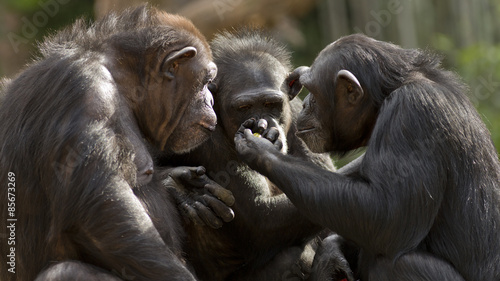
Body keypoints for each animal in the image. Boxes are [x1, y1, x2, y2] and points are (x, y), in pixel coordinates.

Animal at [0, 6, 234, 280]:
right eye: (206, 81)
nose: (210, 100)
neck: (121, 80)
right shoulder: (86, 93)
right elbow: (104, 212)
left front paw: (182, 187)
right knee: (67, 270)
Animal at [167, 29, 336, 280]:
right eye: (244, 108)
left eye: (271, 103)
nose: (262, 124)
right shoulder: (205, 138)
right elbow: (260, 215)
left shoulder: (303, 116)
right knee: (292, 259)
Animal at [234, 33, 500, 280]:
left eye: (313, 91)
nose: (306, 103)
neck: (386, 96)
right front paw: (332, 253)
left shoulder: (412, 113)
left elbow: (387, 214)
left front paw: (261, 149)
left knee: (393, 262)